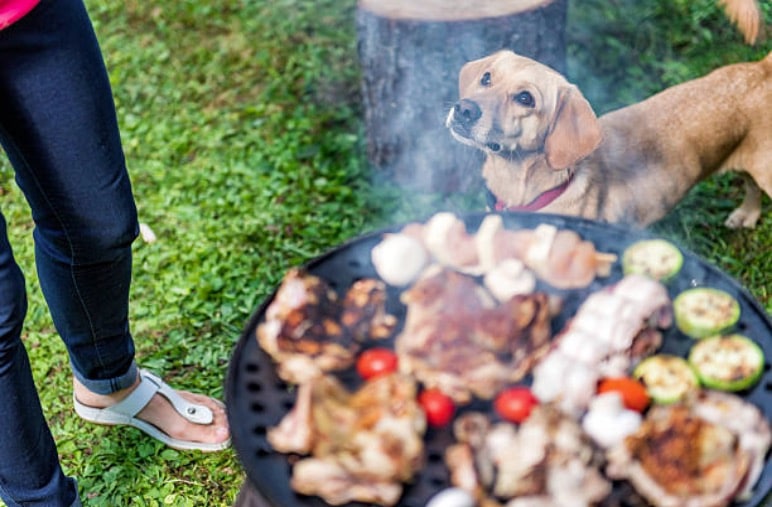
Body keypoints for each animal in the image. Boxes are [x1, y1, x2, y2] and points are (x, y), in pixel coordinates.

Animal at [446, 50, 772, 228]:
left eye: (525, 98)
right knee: (751, 187)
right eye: (486, 78)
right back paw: (747, 215)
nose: (463, 109)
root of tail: (762, 69)